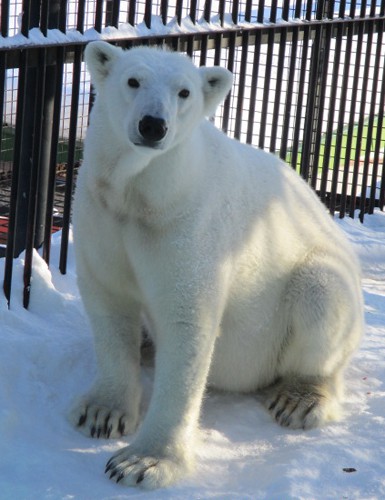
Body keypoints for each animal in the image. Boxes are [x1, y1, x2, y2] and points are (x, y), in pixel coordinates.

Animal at [70, 42, 364, 488]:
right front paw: (102, 412)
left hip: (312, 293)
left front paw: (143, 462)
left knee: (321, 297)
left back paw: (299, 399)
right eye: (133, 80)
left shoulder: (188, 226)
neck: (144, 195)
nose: (153, 125)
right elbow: (110, 303)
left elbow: (187, 325)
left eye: (184, 92)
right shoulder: (103, 215)